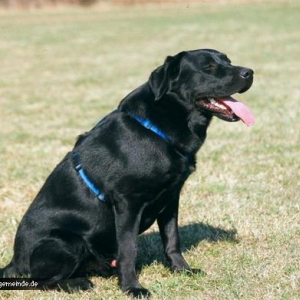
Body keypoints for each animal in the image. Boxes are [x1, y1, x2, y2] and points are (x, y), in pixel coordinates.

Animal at [0, 49, 254, 298]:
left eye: (228, 60)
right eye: (209, 67)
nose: (249, 72)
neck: (156, 128)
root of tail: (15, 262)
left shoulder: (172, 197)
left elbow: (172, 239)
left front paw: (182, 270)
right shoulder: (128, 202)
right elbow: (129, 249)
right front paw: (132, 287)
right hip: (65, 242)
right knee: (40, 280)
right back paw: (77, 283)